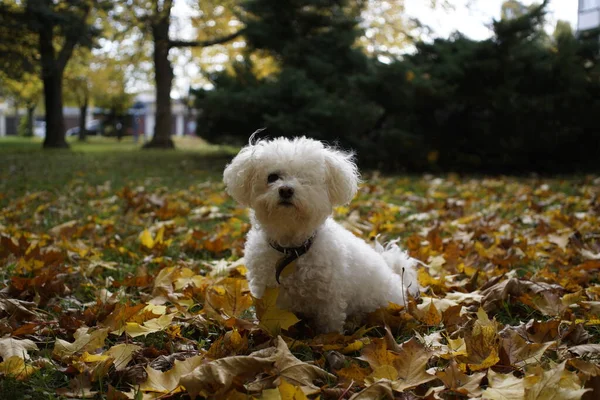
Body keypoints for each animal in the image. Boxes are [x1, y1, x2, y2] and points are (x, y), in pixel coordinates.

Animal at [223, 136, 420, 332]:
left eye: (305, 178)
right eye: (272, 177)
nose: (285, 190)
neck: (291, 248)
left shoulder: (330, 296)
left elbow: (329, 325)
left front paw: (329, 338)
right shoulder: (265, 289)